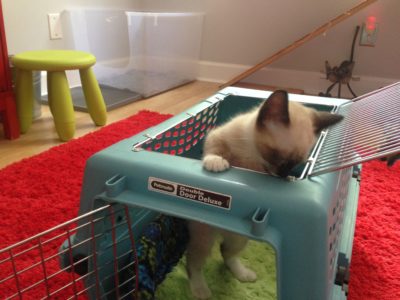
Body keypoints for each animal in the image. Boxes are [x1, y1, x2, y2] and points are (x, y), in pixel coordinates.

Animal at [186, 89, 342, 298]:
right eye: (277, 156)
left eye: (295, 164)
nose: (282, 175)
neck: (252, 155)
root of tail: (223, 230)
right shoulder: (217, 136)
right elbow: (215, 150)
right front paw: (216, 162)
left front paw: (289, 179)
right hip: (204, 236)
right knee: (194, 262)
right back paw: (200, 290)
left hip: (239, 239)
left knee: (226, 252)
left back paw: (243, 274)